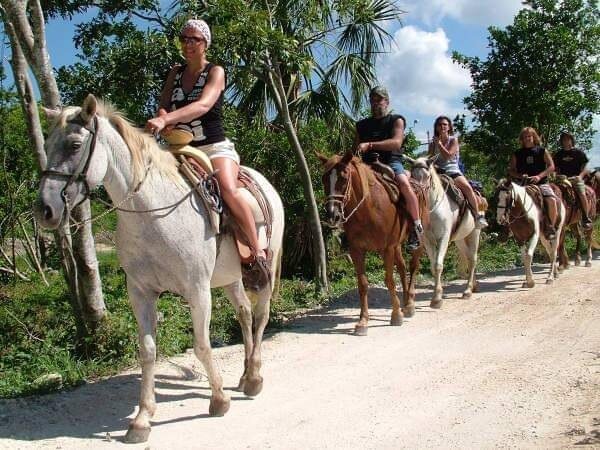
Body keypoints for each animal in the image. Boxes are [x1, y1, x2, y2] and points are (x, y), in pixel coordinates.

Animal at [34, 95, 284, 442]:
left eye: (73, 145)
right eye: (46, 144)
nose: (45, 210)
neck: (153, 213)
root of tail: (262, 182)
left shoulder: (197, 290)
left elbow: (202, 345)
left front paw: (218, 400)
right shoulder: (140, 292)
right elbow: (148, 351)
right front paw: (141, 419)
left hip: (266, 267)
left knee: (260, 315)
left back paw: (255, 377)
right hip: (230, 277)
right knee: (245, 314)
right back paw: (246, 373)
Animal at [318, 153, 426, 336]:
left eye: (343, 177)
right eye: (324, 178)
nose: (333, 215)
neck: (369, 209)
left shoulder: (386, 249)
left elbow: (389, 280)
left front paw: (396, 315)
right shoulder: (357, 251)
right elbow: (362, 284)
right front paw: (363, 322)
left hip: (416, 240)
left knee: (413, 266)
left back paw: (410, 305)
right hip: (397, 245)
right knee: (402, 268)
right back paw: (405, 303)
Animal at [406, 156, 486, 308]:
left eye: (427, 176)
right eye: (412, 175)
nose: (417, 192)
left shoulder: (443, 238)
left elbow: (438, 265)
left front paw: (437, 299)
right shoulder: (428, 241)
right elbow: (433, 266)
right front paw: (436, 295)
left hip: (474, 234)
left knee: (473, 259)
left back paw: (467, 291)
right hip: (459, 239)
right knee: (468, 257)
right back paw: (474, 285)